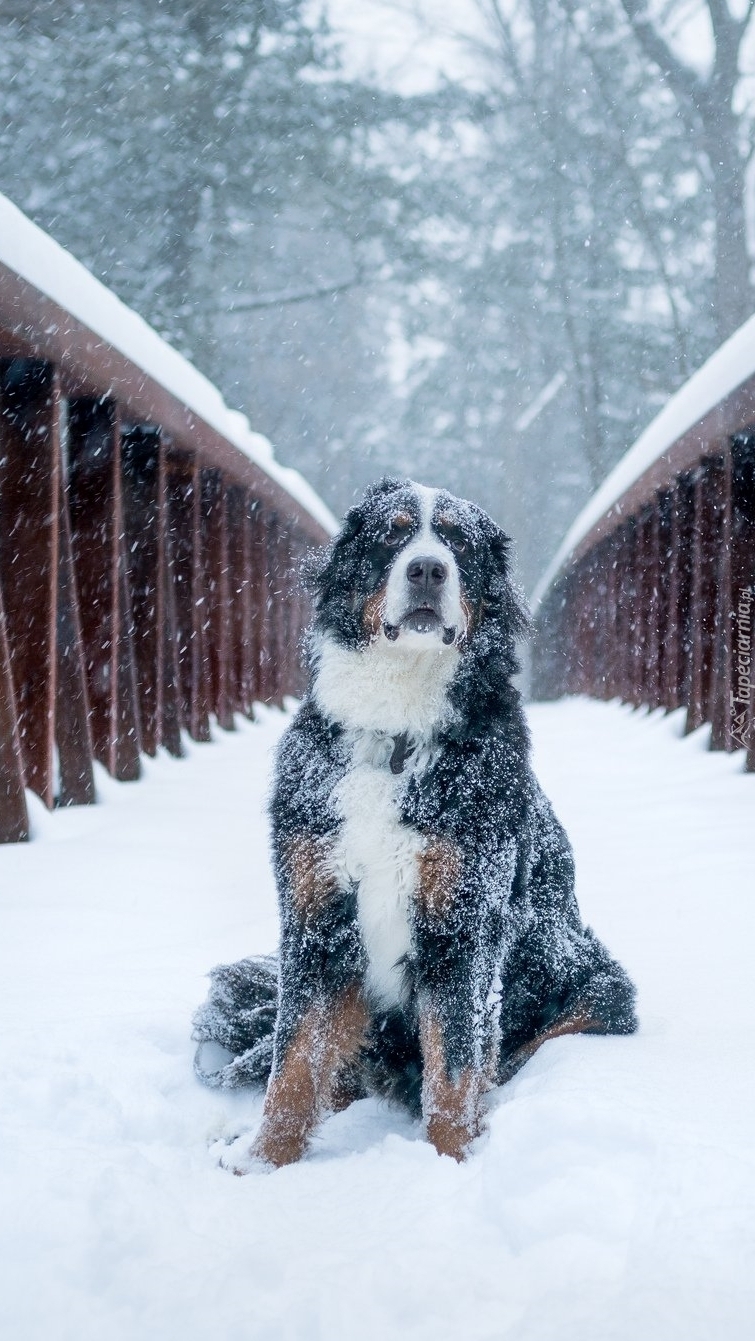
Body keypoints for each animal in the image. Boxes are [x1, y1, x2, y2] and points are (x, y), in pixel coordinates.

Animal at [194, 480, 638, 1163]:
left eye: (457, 541)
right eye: (394, 534)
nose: (428, 568)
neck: (396, 733)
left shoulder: (464, 923)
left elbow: (453, 1071)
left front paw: (448, 1164)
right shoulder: (316, 918)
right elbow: (293, 1064)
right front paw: (262, 1162)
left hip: (597, 985)